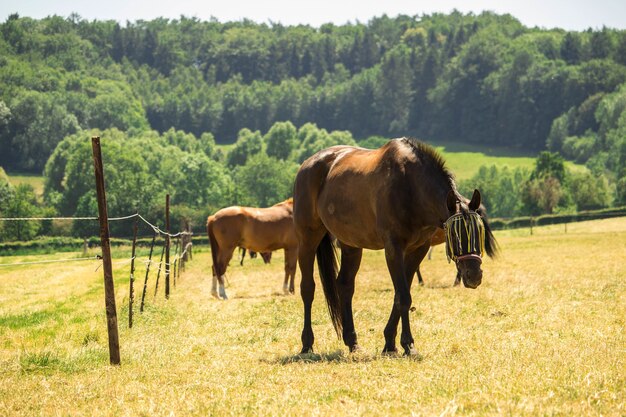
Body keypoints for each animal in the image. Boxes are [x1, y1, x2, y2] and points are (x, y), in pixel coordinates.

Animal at [292, 136, 498, 354]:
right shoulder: (393, 248)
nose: (474, 276)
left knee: (345, 286)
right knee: (308, 288)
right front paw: (408, 344)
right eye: (454, 235)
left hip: (351, 244)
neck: (411, 188)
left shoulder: (418, 249)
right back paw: (307, 343)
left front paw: (390, 343)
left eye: (479, 232)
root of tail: (308, 164)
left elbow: (400, 295)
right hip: (308, 239)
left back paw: (352, 342)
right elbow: (404, 296)